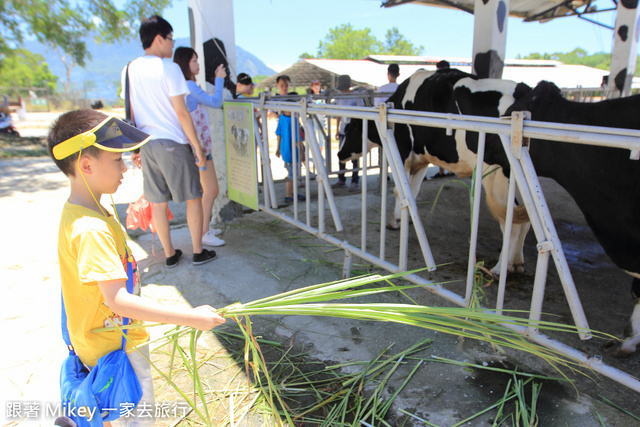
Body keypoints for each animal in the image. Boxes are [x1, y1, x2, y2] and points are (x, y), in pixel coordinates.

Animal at [342, 68, 532, 272]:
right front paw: (407, 219)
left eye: (350, 129)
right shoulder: (421, 160)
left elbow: (399, 191)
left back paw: (498, 269)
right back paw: (517, 262)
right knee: (526, 219)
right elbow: (412, 192)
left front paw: (395, 222)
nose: (338, 154)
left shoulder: (403, 151)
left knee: (511, 224)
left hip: (497, 179)